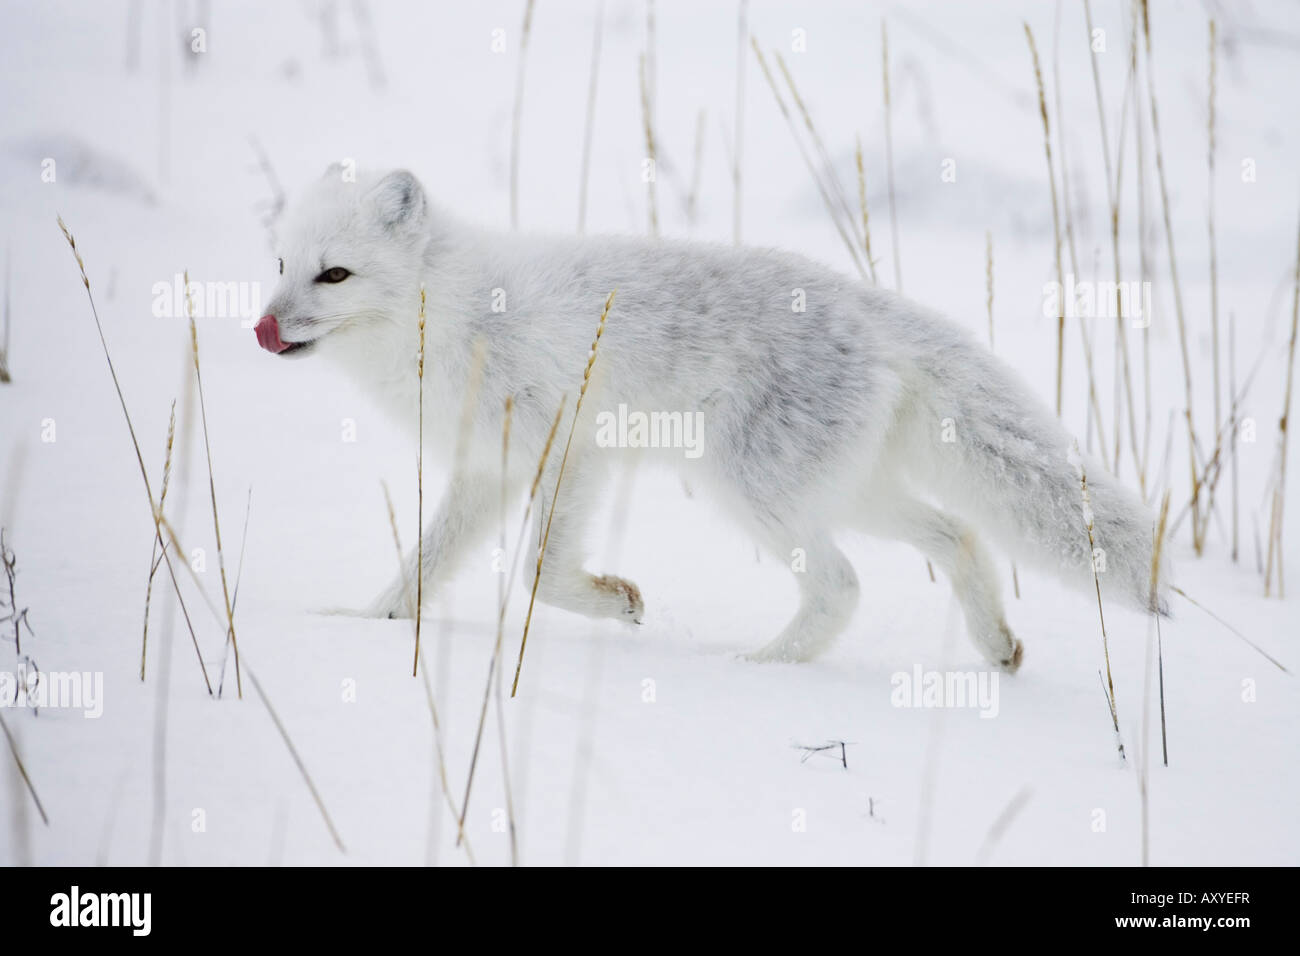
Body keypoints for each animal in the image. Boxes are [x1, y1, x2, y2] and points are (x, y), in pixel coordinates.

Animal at [256, 167, 1168, 669]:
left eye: (335, 275)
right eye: (281, 264)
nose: (263, 328)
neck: (454, 313)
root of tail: (872, 309)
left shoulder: (571, 449)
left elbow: (539, 575)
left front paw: (620, 602)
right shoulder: (488, 471)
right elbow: (418, 571)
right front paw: (362, 628)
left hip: (755, 492)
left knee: (842, 585)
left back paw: (760, 669)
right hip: (850, 493)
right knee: (959, 536)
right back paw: (995, 647)